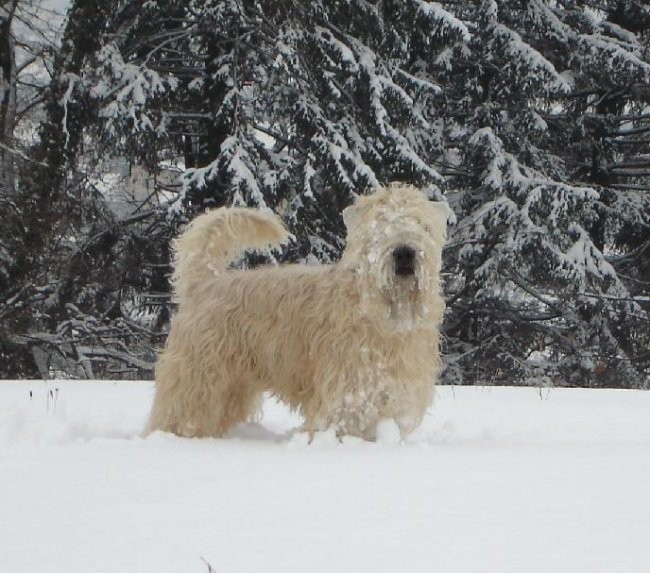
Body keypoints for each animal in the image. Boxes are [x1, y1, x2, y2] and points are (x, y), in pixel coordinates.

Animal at [148, 183, 446, 438]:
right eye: (380, 223)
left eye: (423, 225)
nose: (405, 252)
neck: (384, 321)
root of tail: (204, 284)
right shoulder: (346, 397)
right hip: (198, 380)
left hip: (233, 387)